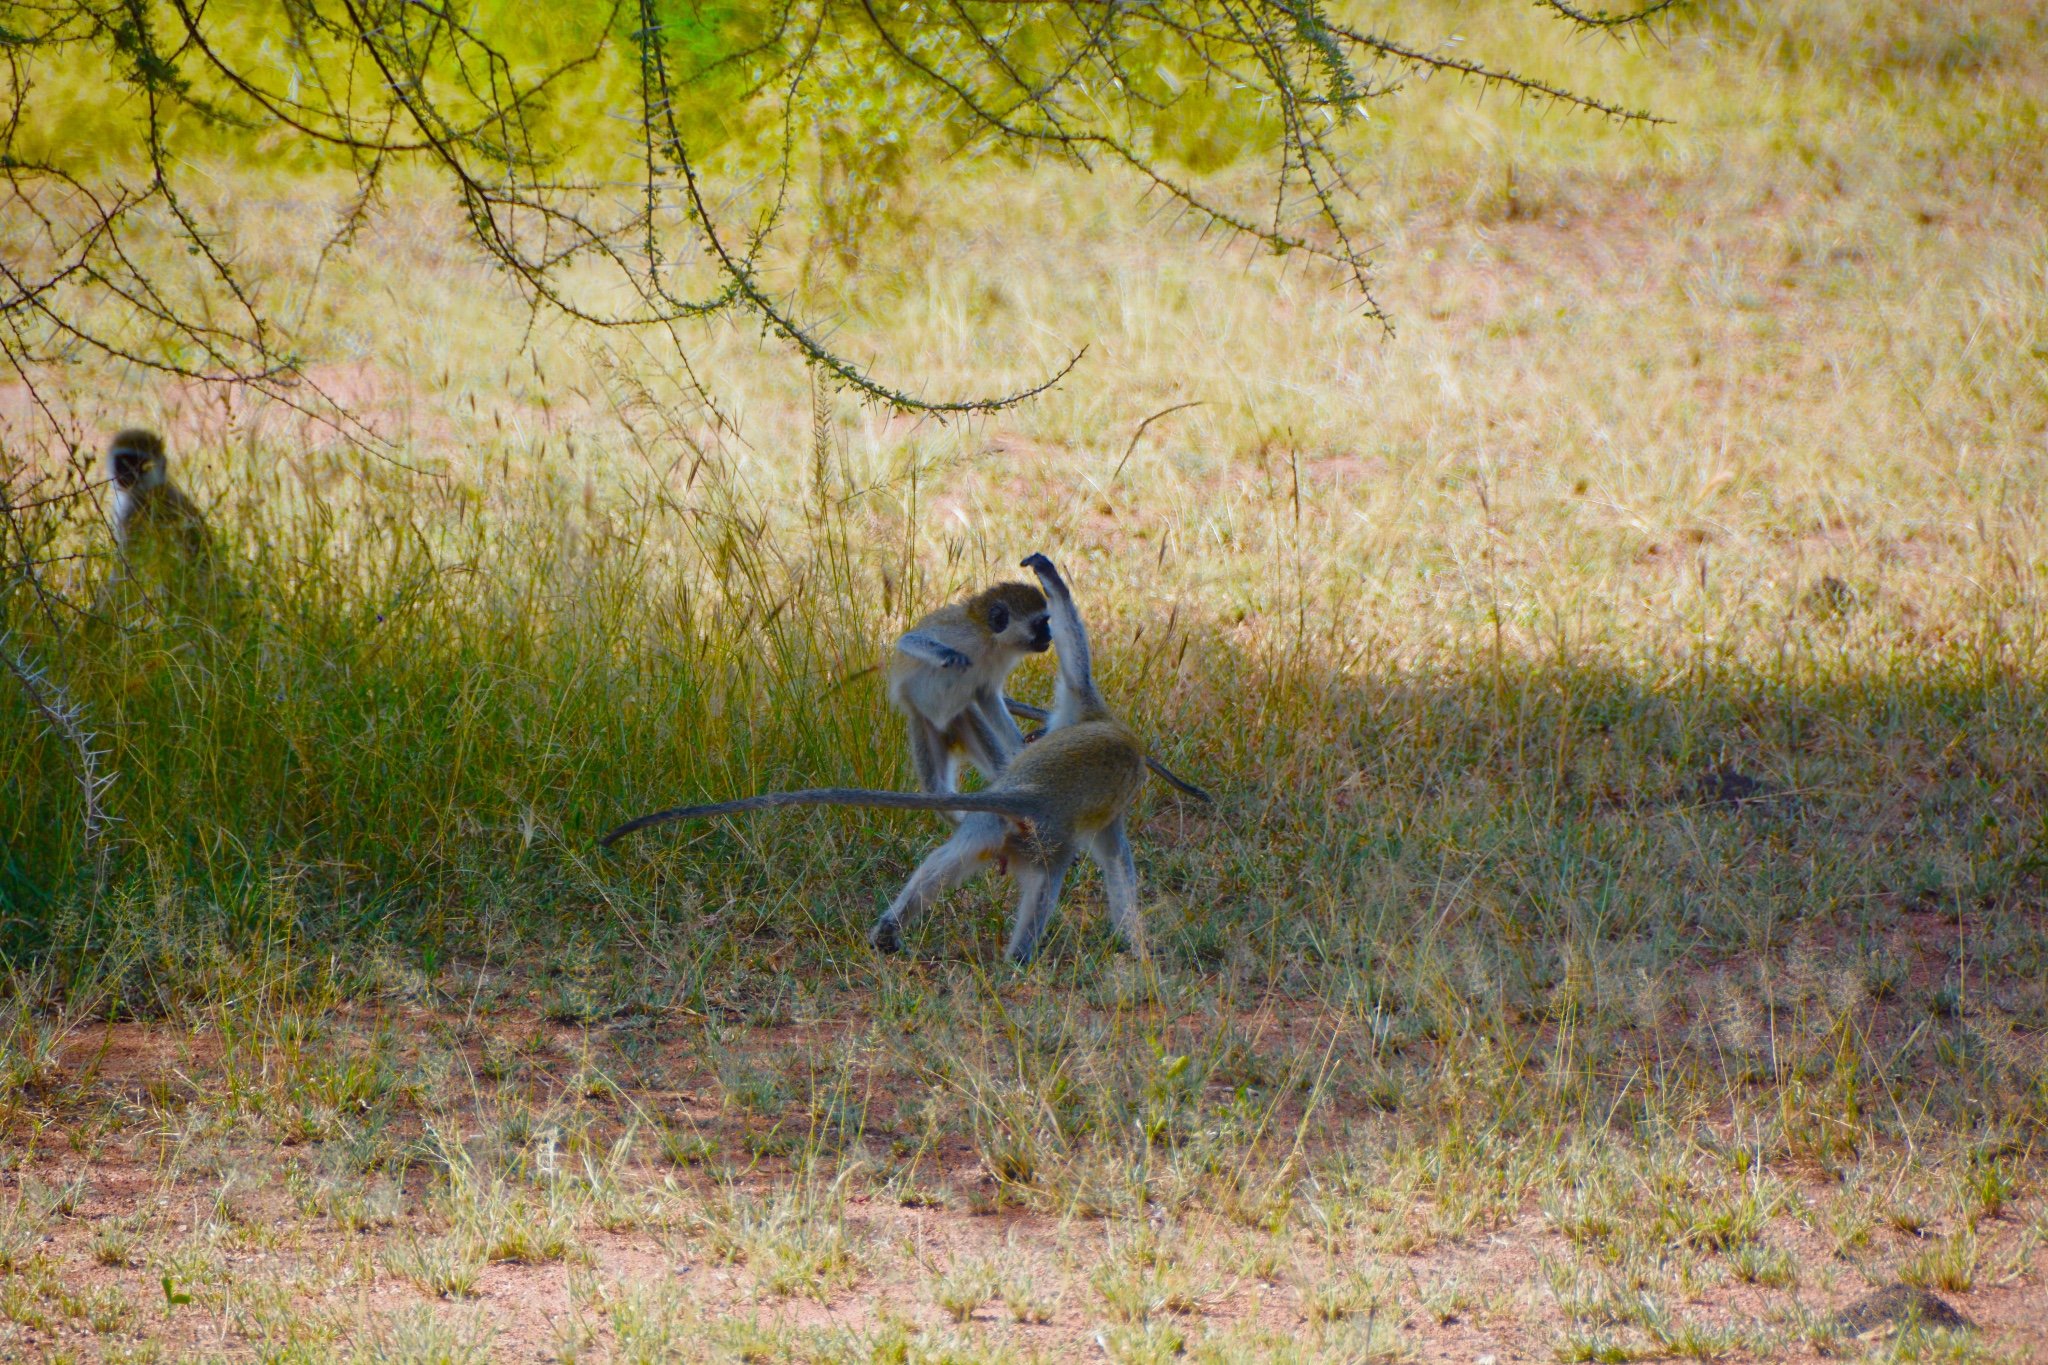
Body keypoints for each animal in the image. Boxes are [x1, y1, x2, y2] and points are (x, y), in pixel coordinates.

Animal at [602, 552, 1155, 961]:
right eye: (1040, 624)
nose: (1047, 636)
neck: (989, 641)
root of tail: (1029, 802)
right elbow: (913, 640)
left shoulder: (1015, 689)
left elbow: (993, 695)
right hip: (934, 735)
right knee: (943, 786)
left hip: (969, 741)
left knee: (971, 776)